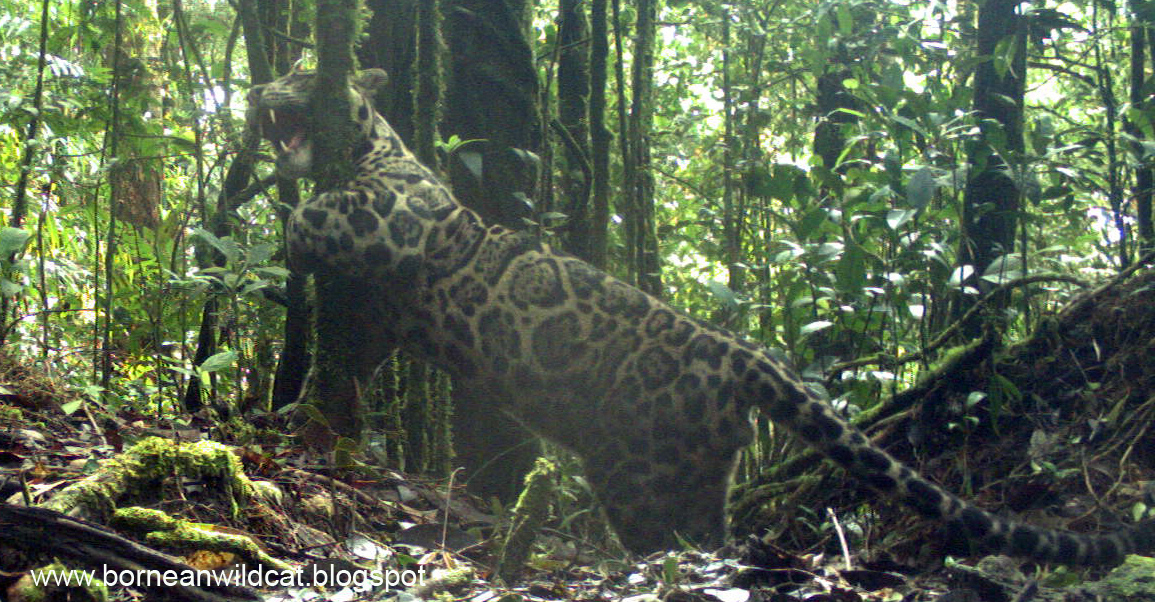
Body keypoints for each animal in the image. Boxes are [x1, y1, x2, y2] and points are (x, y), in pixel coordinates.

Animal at [247, 65, 1155, 565]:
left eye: (303, 73)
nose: (258, 92)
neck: (375, 145)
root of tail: (738, 355)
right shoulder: (379, 312)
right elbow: (352, 355)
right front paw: (304, 406)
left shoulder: (399, 218)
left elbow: (327, 213)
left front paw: (290, 232)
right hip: (689, 471)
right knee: (710, 535)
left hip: (642, 475)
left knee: (685, 542)